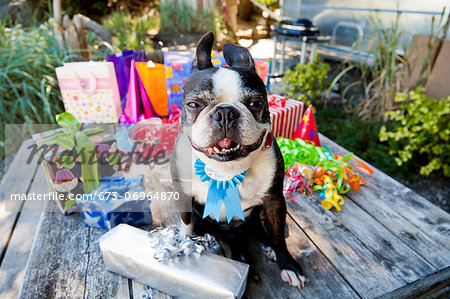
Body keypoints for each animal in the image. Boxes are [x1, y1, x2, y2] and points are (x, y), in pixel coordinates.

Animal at [170, 31, 306, 290]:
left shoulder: (274, 201)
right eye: (194, 105)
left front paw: (287, 264)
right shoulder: (183, 195)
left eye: (256, 103)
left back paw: (266, 246)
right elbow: (187, 224)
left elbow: (278, 236)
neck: (226, 169)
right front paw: (187, 243)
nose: (225, 112)